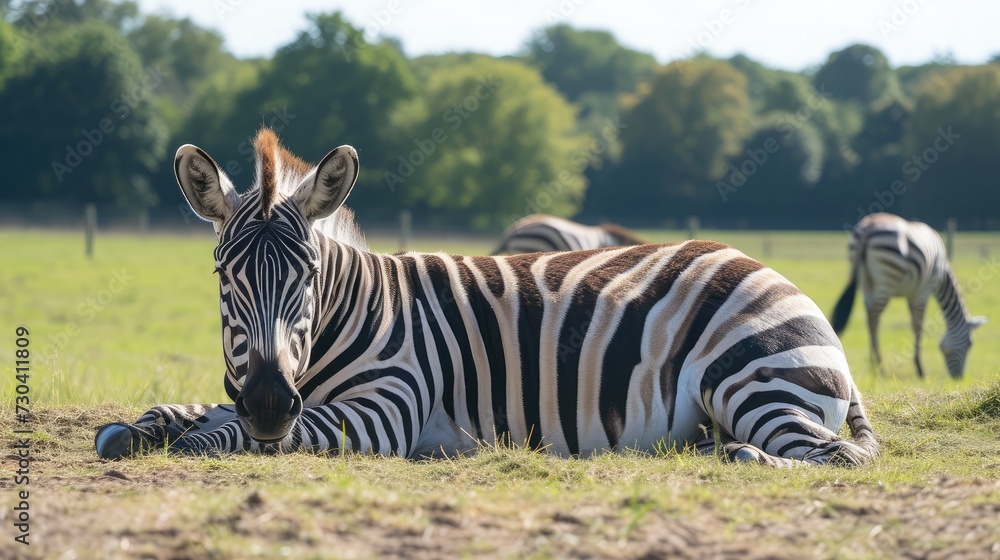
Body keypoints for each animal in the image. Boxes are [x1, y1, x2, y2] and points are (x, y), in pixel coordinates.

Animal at [831, 212, 986, 378]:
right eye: (969, 344)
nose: (959, 377)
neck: (942, 274)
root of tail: (869, 227)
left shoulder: (911, 294)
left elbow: (914, 323)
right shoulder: (923, 291)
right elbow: (918, 325)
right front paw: (920, 369)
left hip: (866, 283)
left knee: (869, 319)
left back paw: (874, 365)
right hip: (887, 278)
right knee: (874, 317)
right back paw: (880, 366)